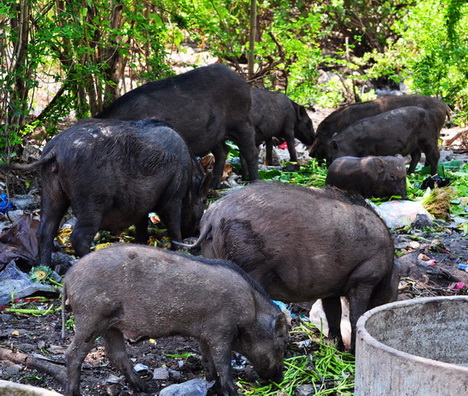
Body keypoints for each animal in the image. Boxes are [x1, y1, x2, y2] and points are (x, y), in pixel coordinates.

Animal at [0, 117, 208, 266]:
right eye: (204, 200)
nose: (194, 231)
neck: (190, 174)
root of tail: (56, 150)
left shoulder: (141, 205)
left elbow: (141, 225)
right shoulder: (174, 196)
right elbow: (172, 223)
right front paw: (181, 250)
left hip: (51, 192)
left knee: (45, 231)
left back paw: (44, 268)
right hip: (92, 199)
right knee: (78, 237)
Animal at [61, 244, 288, 396]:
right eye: (282, 343)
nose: (280, 378)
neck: (251, 310)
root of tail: (67, 278)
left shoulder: (204, 335)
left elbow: (208, 361)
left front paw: (212, 386)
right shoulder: (221, 333)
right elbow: (224, 364)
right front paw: (231, 392)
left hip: (111, 325)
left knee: (115, 354)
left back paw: (145, 387)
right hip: (91, 318)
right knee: (72, 354)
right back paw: (74, 392)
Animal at [97, 63, 260, 189]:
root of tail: (243, 81)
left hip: (241, 122)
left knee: (251, 152)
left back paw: (254, 182)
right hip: (215, 134)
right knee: (223, 151)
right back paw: (214, 186)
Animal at [181, 181, 400, 352]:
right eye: (396, 288)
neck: (388, 264)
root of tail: (212, 216)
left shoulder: (331, 288)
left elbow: (333, 314)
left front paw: (335, 346)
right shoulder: (364, 278)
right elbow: (355, 315)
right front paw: (351, 352)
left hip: (212, 258)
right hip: (251, 265)